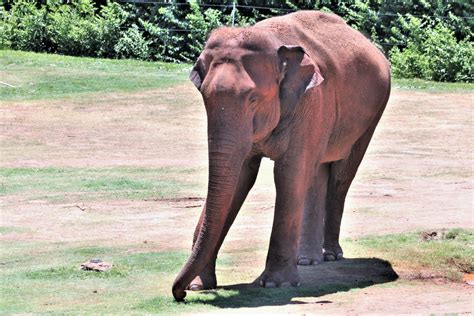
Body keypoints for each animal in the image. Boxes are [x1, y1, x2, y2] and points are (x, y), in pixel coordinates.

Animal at [172, 9, 390, 302]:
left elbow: (288, 175)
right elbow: (240, 178)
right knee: (316, 172)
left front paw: (278, 285)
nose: (181, 293)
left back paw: (330, 256)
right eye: (204, 96)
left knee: (341, 176)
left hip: (371, 114)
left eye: (253, 99)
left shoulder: (310, 101)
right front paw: (200, 284)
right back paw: (307, 260)